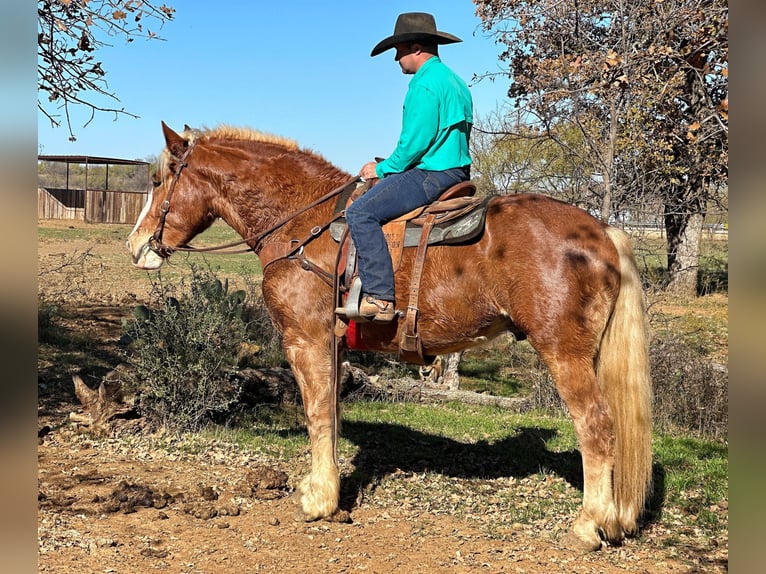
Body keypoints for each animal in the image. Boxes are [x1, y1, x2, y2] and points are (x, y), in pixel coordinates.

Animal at [127, 122, 656, 552]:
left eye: (157, 181)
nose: (135, 246)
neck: (301, 223)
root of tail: (603, 232)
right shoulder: (332, 348)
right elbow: (332, 414)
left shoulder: (306, 341)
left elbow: (317, 415)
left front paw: (319, 499)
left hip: (565, 355)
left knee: (597, 427)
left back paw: (588, 525)